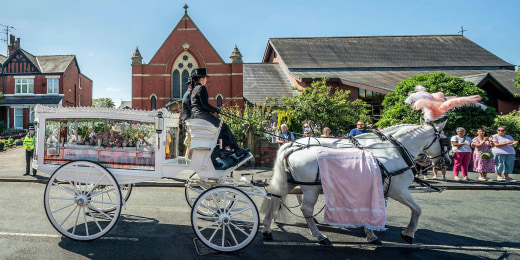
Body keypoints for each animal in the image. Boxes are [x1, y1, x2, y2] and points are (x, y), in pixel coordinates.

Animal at [262, 122, 448, 246]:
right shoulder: (398, 190)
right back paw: (319, 236)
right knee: (305, 208)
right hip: (310, 187)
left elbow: (373, 208)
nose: (446, 161)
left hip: (290, 182)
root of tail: (294, 146)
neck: (393, 149)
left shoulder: (376, 187)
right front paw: (408, 234)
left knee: (274, 197)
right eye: (445, 141)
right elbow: (417, 209)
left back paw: (267, 229)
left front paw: (370, 231)